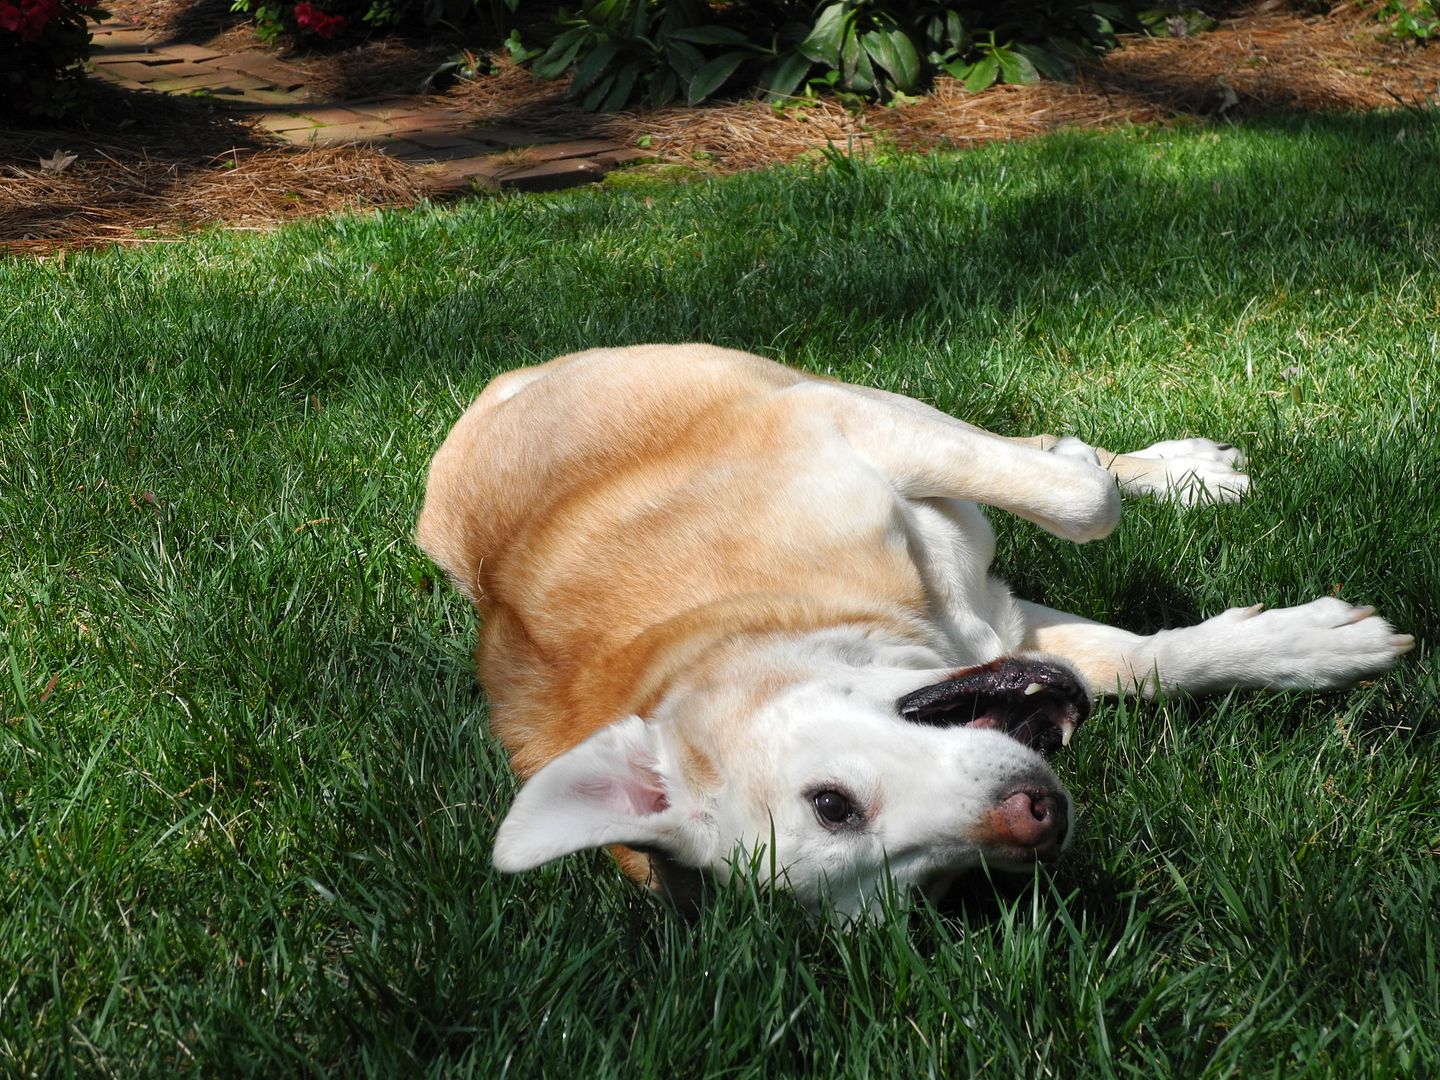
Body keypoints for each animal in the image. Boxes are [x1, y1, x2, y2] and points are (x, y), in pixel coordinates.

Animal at [411, 347, 1411, 921]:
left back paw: (1182, 470)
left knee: (1051, 448)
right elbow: (1153, 660)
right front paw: (1319, 649)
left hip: (803, 383)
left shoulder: (834, 421)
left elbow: (1082, 497)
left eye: (831, 803)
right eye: (931, 889)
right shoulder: (1011, 627)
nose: (1037, 821)